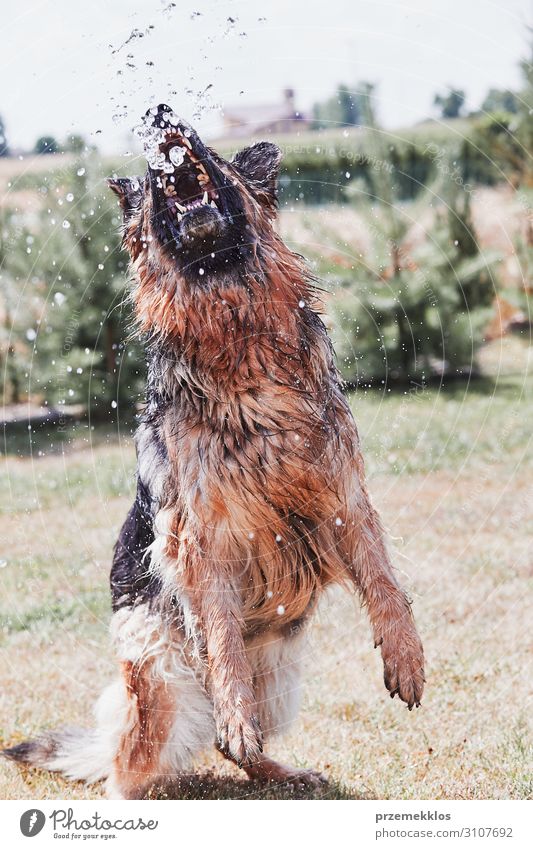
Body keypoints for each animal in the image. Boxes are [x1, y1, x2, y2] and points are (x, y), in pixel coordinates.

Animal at [2, 104, 422, 796]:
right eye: (150, 178)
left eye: (209, 147)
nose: (159, 113)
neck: (235, 337)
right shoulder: (202, 537)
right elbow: (221, 637)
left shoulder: (342, 493)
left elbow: (384, 580)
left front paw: (406, 655)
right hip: (163, 683)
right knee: (139, 760)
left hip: (279, 676)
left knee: (231, 743)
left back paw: (284, 771)